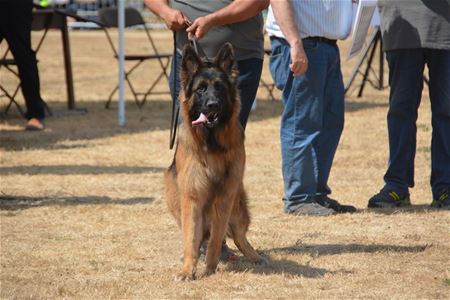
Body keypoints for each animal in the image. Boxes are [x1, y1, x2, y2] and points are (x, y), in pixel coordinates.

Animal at [164, 42, 264, 282]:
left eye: (219, 88)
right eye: (201, 89)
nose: (212, 105)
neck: (211, 144)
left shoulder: (225, 197)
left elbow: (217, 239)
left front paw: (209, 268)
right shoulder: (191, 198)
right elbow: (191, 239)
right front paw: (187, 270)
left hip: (238, 206)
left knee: (238, 236)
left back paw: (253, 256)